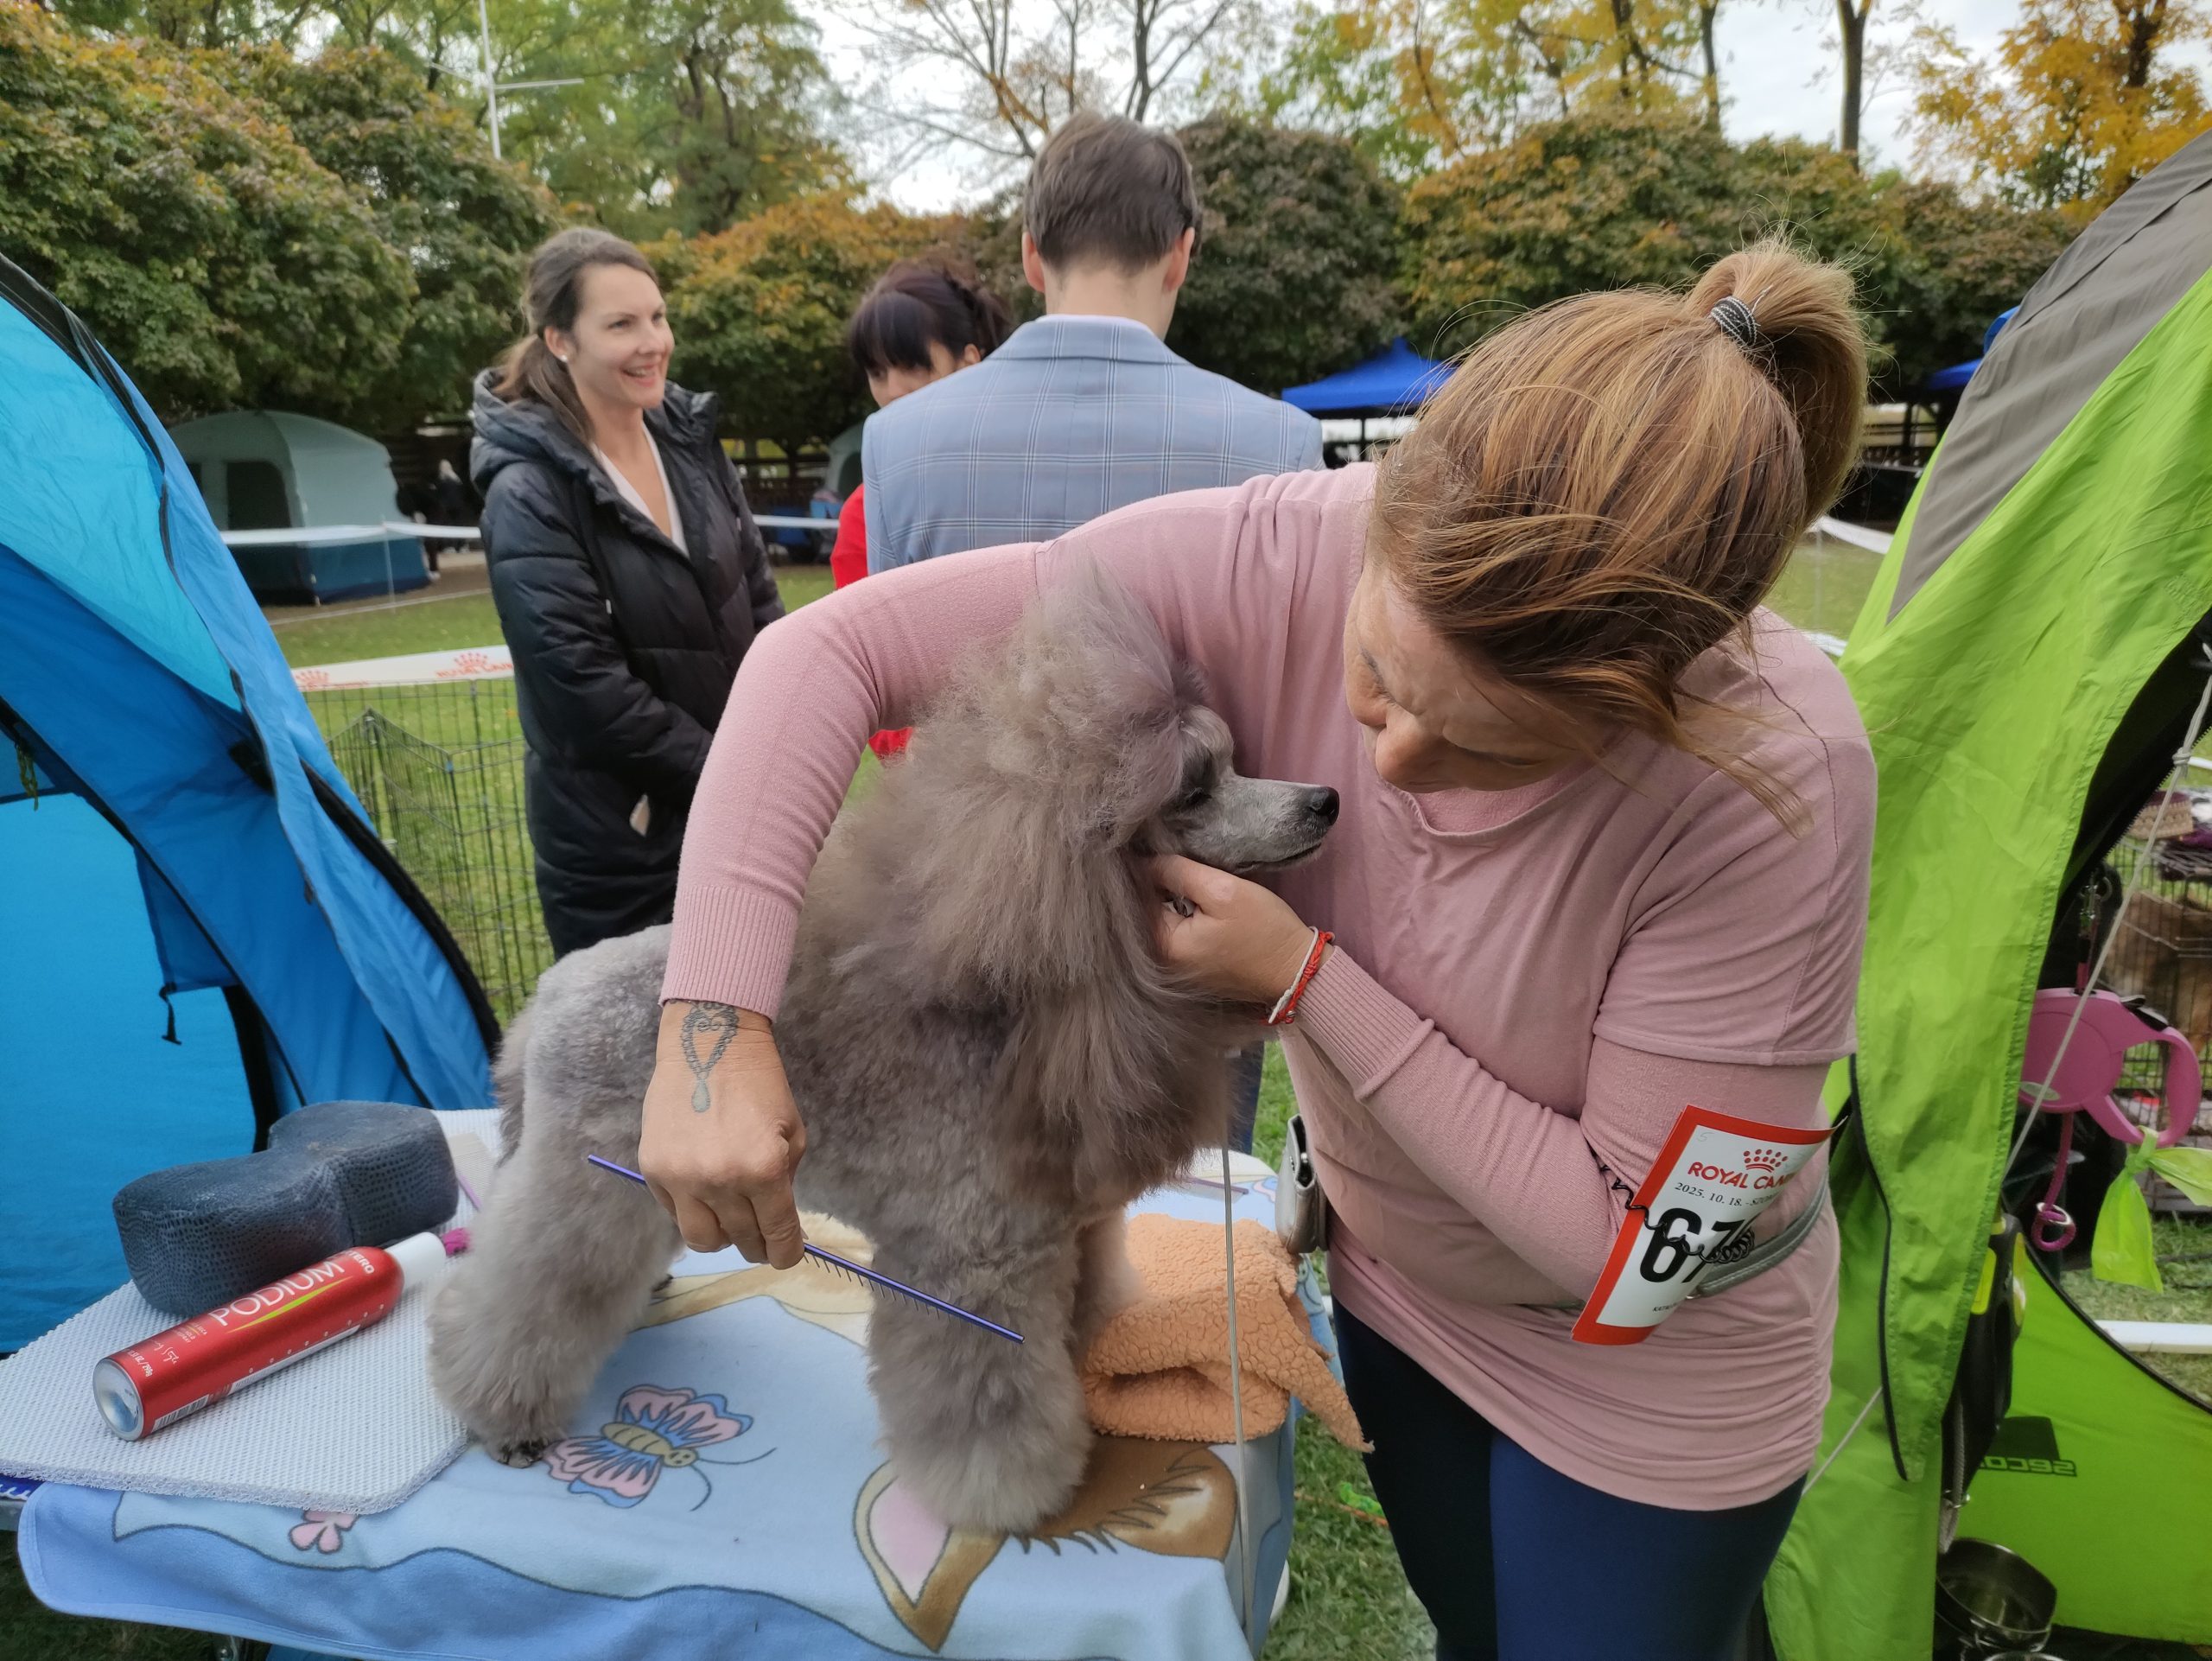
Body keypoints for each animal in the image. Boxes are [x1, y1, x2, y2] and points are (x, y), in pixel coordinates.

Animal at [428, 569, 1338, 1532]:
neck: (1026, 1018)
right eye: (1194, 789)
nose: (1322, 799)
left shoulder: (1074, 1236)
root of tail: (552, 989)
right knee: (523, 1294)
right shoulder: (973, 1270)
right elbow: (988, 1399)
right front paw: (1008, 1494)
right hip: (585, 1182)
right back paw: (501, 1408)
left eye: (1232, 765)